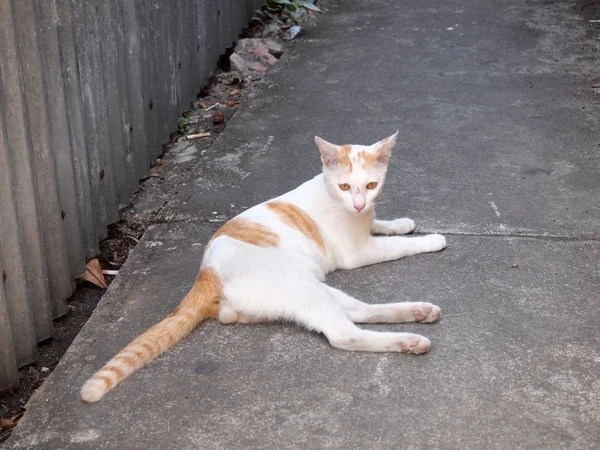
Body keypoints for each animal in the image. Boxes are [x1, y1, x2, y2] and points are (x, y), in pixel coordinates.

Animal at [81, 132, 446, 402]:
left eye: (371, 186)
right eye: (345, 186)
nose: (358, 204)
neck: (339, 200)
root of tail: (206, 273)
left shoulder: (368, 222)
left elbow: (384, 226)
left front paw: (401, 223)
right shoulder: (358, 251)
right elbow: (398, 246)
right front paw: (430, 239)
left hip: (309, 289)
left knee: (359, 311)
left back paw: (419, 313)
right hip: (304, 288)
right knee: (344, 334)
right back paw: (410, 340)